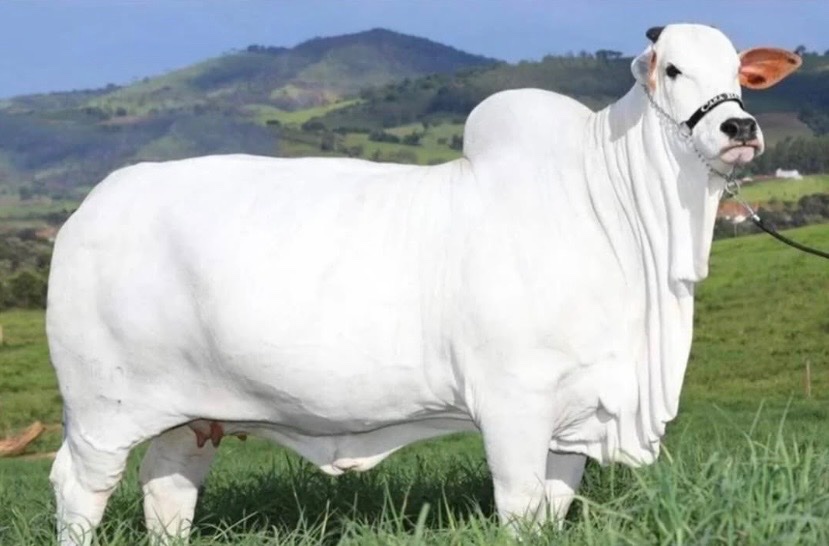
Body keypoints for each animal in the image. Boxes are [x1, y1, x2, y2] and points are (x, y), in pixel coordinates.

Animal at [46, 24, 800, 545]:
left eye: (739, 73)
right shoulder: (513, 407)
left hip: (192, 416)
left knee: (167, 490)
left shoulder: (575, 418)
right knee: (78, 489)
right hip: (102, 410)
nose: (739, 127)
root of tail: (89, 209)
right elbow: (520, 510)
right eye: (672, 68)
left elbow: (552, 510)